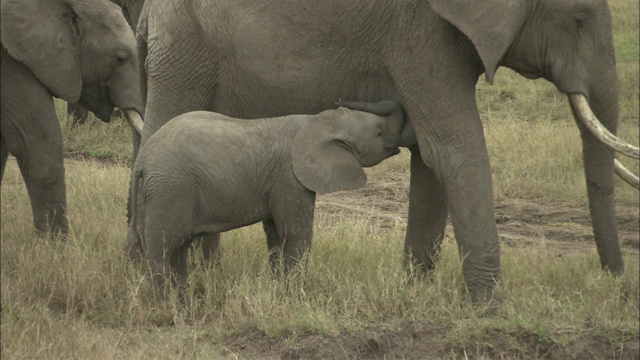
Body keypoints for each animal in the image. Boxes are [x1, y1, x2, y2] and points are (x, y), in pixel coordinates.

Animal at [126, 100, 410, 292]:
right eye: (378, 133)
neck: (316, 121)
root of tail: (144, 159)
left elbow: (275, 234)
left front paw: (279, 286)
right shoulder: (290, 178)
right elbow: (295, 233)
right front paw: (297, 291)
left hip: (156, 194)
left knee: (173, 249)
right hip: (171, 191)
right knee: (166, 248)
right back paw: (169, 303)